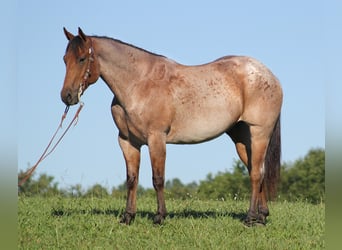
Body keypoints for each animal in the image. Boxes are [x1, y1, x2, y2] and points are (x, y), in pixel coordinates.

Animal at [60, 27, 282, 227]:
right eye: (64, 59)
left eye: (81, 59)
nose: (67, 96)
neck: (138, 84)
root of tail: (268, 75)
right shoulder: (127, 142)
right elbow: (132, 179)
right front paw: (127, 217)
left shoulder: (156, 138)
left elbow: (157, 178)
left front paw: (159, 217)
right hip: (242, 139)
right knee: (256, 170)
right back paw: (262, 217)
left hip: (259, 134)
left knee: (256, 174)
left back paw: (250, 218)